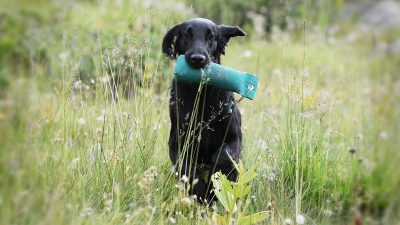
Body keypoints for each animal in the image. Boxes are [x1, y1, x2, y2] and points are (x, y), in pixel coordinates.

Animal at [162, 18, 244, 202]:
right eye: (186, 34)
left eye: (211, 36)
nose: (197, 59)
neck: (202, 97)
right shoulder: (177, 143)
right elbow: (187, 169)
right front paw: (202, 193)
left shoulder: (234, 137)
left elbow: (223, 157)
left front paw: (217, 185)